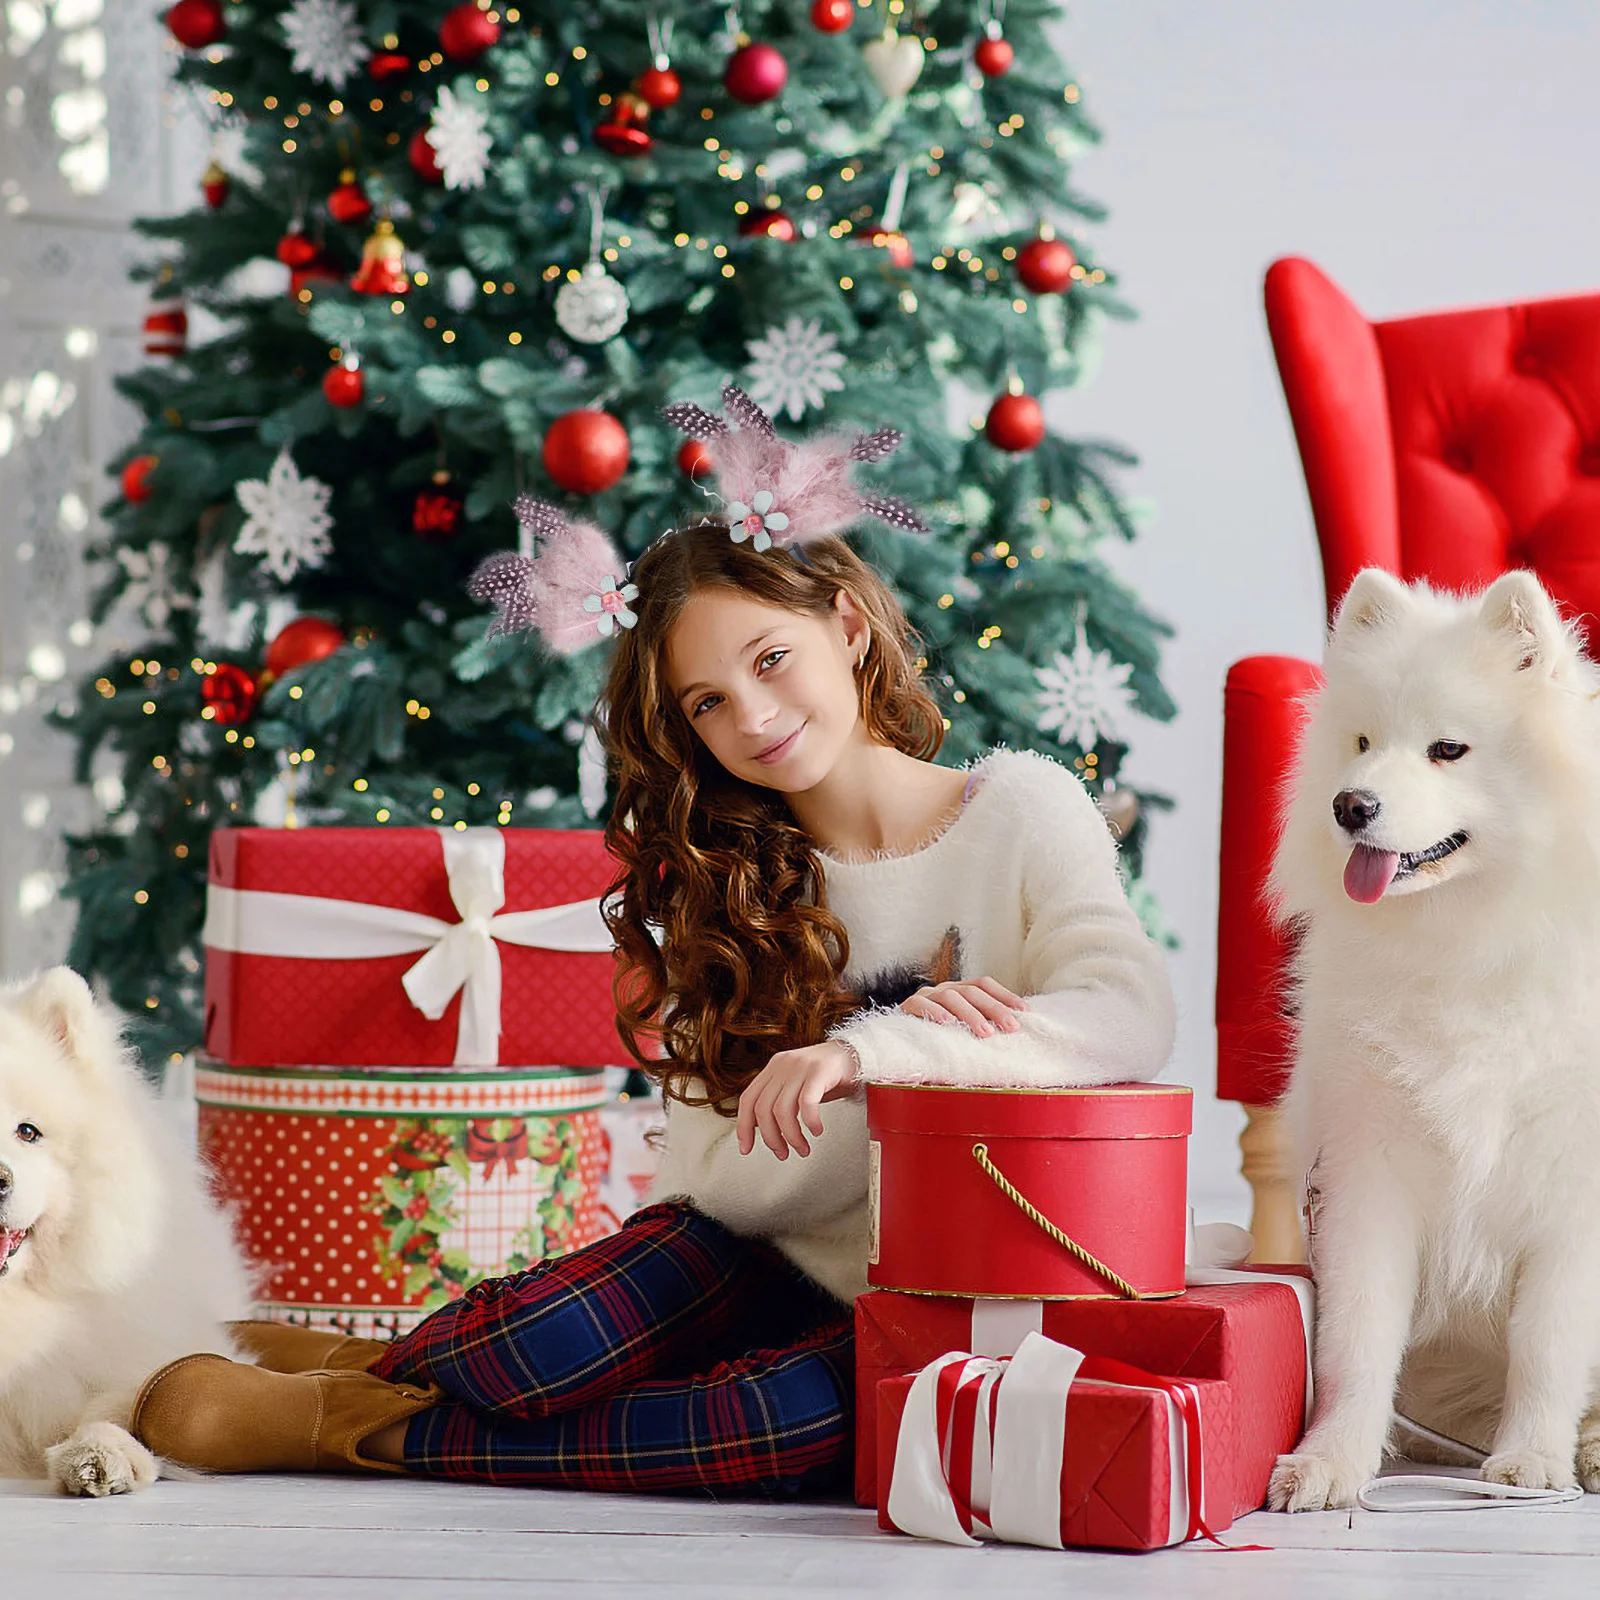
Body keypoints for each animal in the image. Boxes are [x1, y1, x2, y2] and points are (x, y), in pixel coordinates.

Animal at [1267, 569, 1600, 1504]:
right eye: (1362, 742)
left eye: (1447, 750)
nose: (1350, 804)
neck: (1468, 945)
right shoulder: (1366, 1173)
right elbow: (1355, 1342)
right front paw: (1330, 1464)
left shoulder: (1574, 1195)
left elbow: (1548, 1343)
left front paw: (1532, 1462)